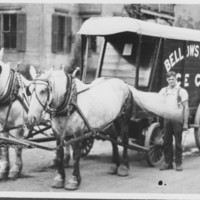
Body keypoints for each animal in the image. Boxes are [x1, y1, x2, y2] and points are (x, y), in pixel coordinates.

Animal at [26, 67, 181, 191]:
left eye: (43, 90)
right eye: (29, 91)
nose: (31, 118)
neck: (70, 101)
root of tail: (125, 84)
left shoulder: (77, 133)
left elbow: (76, 156)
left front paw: (74, 180)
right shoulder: (58, 133)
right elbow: (59, 155)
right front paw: (59, 179)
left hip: (123, 120)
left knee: (124, 140)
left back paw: (123, 167)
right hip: (110, 121)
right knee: (113, 139)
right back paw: (114, 165)